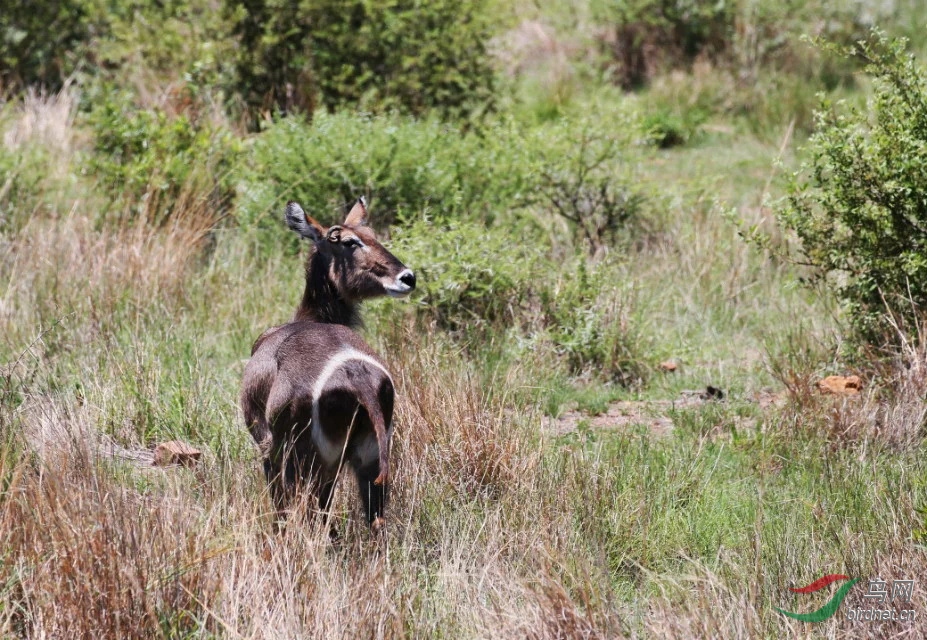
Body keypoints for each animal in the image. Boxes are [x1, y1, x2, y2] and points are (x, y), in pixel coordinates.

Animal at [241, 196, 416, 536]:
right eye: (350, 240)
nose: (408, 277)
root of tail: (359, 380)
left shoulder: (268, 447)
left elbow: (279, 509)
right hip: (370, 459)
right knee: (375, 521)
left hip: (316, 462)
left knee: (311, 515)